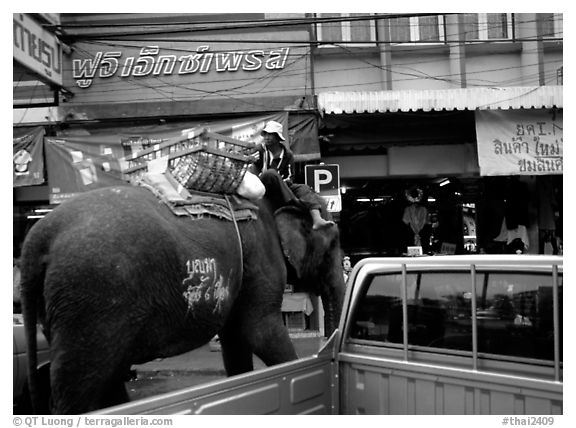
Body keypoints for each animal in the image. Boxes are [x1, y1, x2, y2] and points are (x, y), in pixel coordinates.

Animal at [21, 178, 346, 414]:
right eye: (334, 242)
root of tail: (36, 239)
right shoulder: (260, 260)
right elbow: (259, 331)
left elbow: (235, 341)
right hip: (91, 299)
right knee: (79, 384)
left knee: (105, 377)